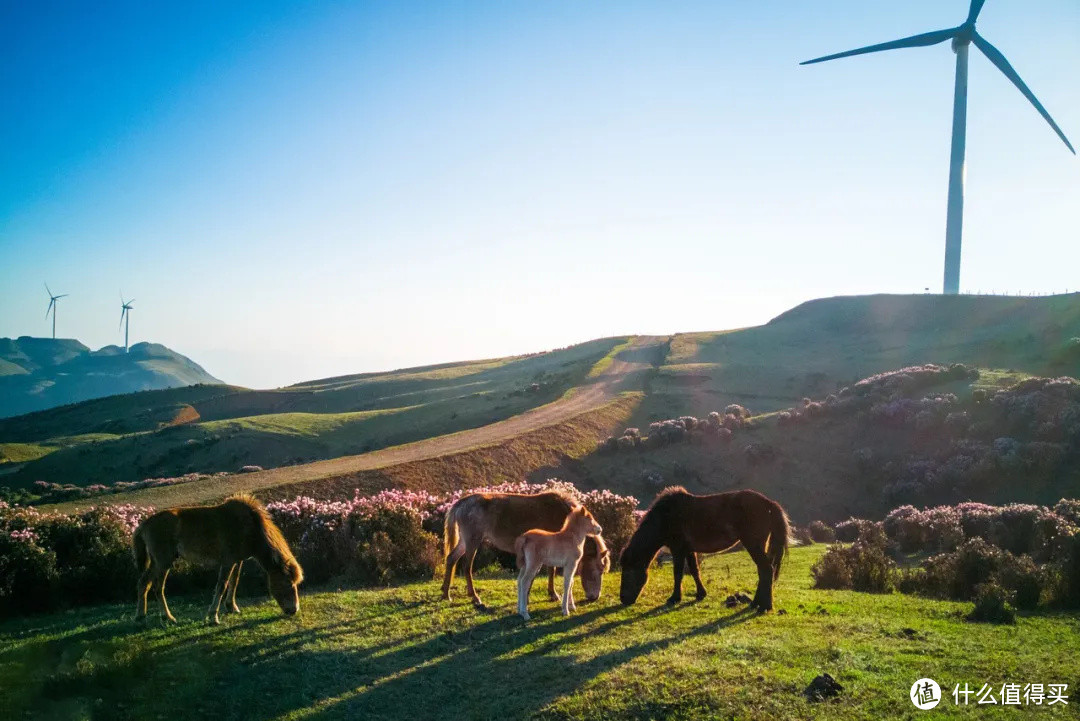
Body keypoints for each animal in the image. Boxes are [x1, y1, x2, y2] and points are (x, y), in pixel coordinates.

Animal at [135, 492, 306, 621]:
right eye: (287, 582)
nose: (293, 610)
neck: (250, 527)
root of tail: (144, 524)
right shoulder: (228, 562)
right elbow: (222, 585)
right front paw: (213, 616)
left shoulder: (238, 561)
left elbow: (234, 582)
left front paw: (231, 607)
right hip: (164, 562)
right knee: (158, 587)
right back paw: (168, 617)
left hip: (156, 562)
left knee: (144, 582)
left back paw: (141, 616)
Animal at [438, 492, 609, 604]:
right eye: (598, 570)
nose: (595, 597)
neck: (564, 516)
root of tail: (462, 502)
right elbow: (551, 570)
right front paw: (553, 594)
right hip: (473, 540)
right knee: (467, 567)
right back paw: (474, 596)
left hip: (464, 541)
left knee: (451, 559)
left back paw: (446, 593)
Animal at [622, 487, 790, 613]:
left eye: (629, 571)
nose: (623, 600)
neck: (666, 516)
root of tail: (769, 503)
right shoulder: (689, 550)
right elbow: (694, 571)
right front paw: (700, 594)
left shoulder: (678, 550)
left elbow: (677, 574)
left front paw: (674, 598)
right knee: (763, 571)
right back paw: (756, 603)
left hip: (753, 544)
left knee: (766, 570)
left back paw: (764, 606)